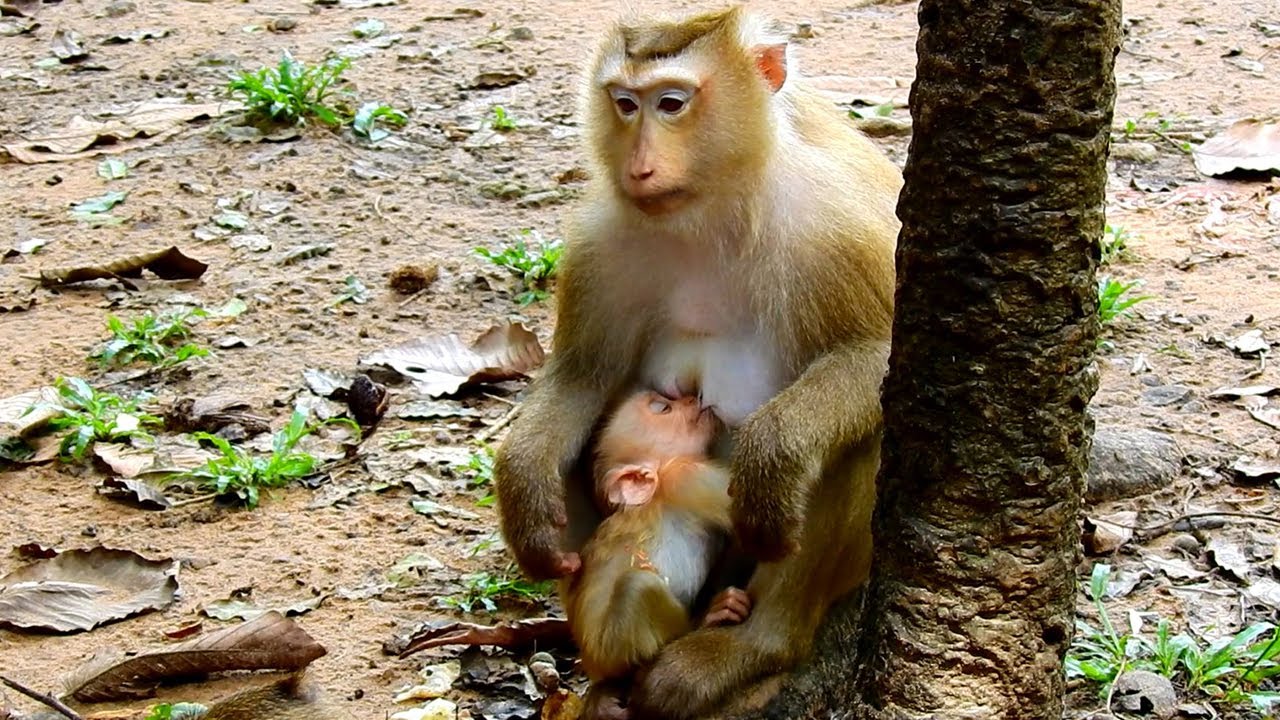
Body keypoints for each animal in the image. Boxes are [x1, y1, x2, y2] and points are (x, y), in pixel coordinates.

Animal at [494, 6, 901, 719]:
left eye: (673, 103)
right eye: (625, 104)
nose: (639, 165)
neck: (714, 209)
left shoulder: (831, 226)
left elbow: (876, 351)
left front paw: (774, 453)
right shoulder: (602, 241)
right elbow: (582, 372)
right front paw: (522, 485)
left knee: (857, 438)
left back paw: (751, 647)